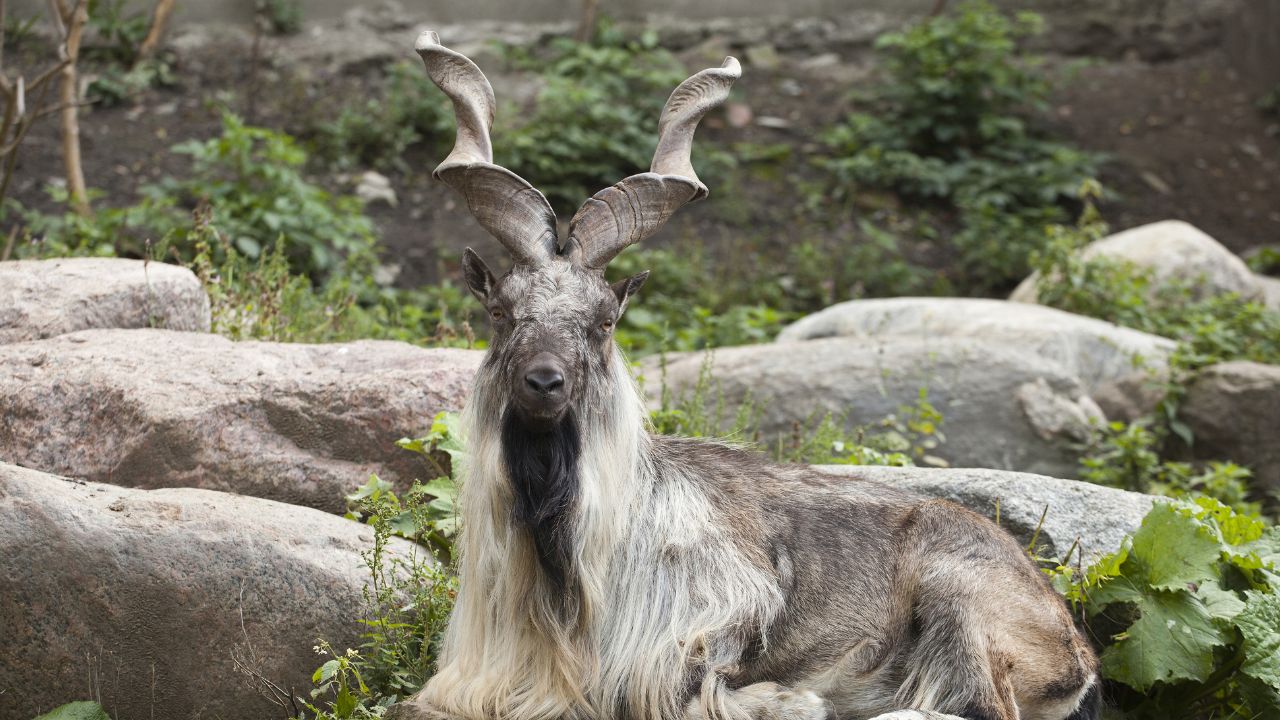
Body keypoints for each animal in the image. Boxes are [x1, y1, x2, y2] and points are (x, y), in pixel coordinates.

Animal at [391, 33, 1100, 720]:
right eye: (501, 312)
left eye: (603, 321)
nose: (545, 383)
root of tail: (1074, 651)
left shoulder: (706, 628)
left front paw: (794, 699)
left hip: (959, 594)